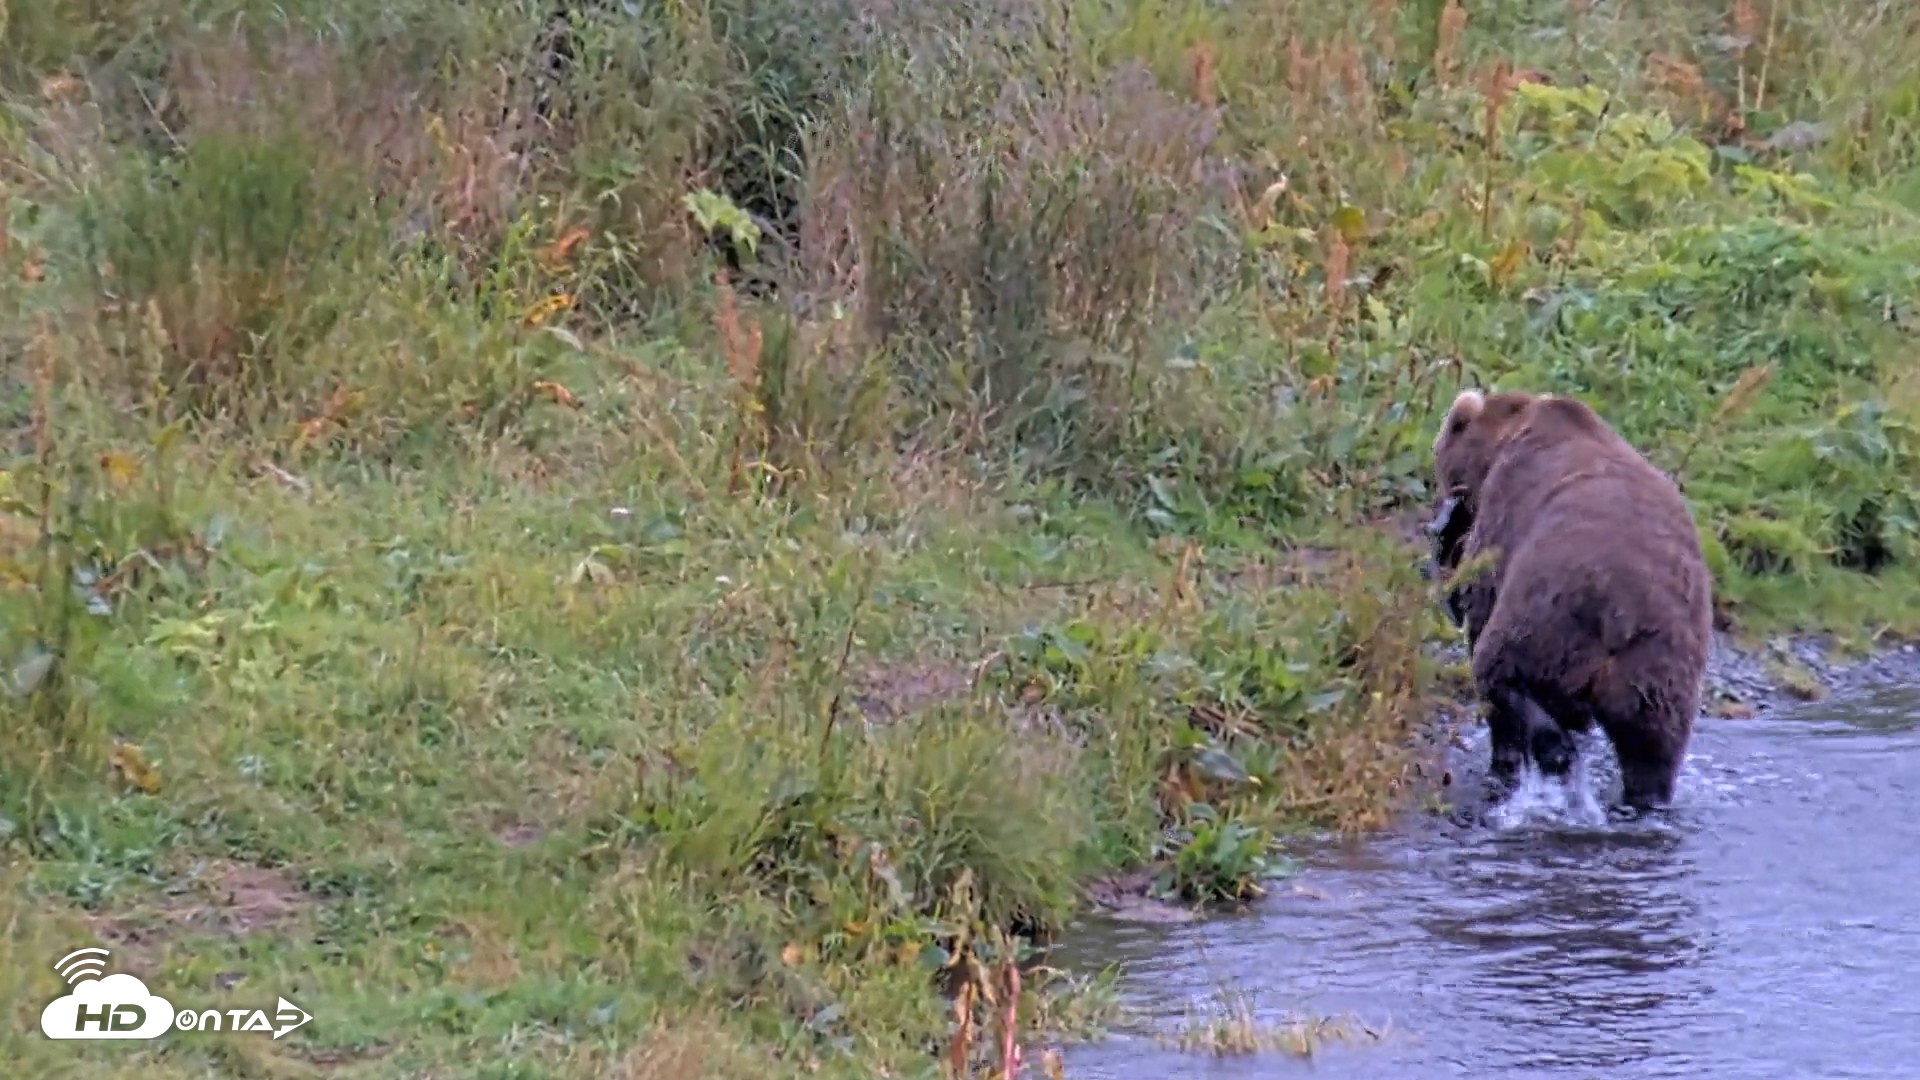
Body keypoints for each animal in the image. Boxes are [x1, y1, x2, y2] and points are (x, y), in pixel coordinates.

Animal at [1427, 388, 1714, 812]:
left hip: (1545, 620)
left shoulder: (1504, 509)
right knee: (1653, 750)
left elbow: (1480, 598)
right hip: (1659, 670)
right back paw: (1642, 798)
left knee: (1500, 671)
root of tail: (1620, 614)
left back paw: (1544, 754)